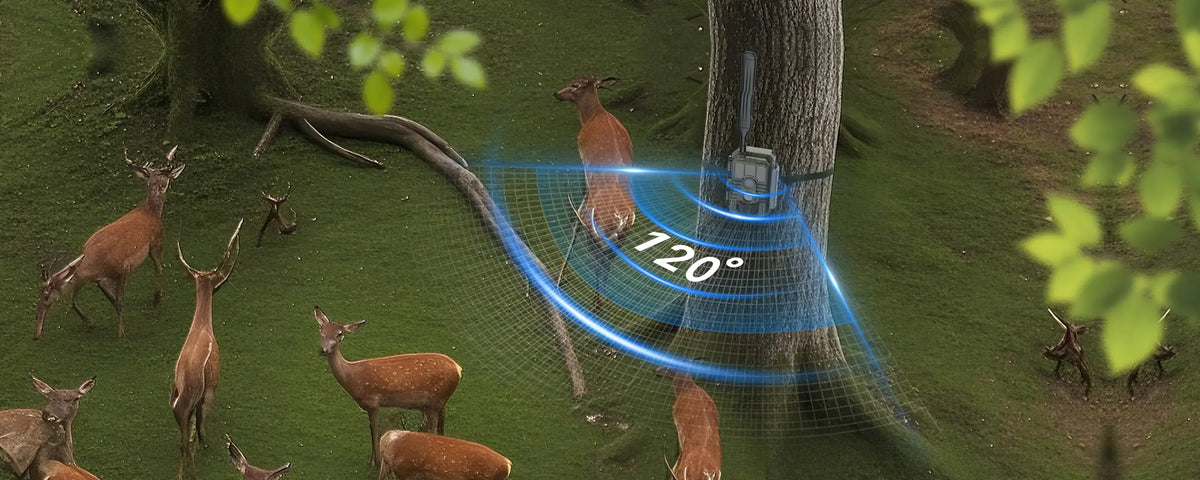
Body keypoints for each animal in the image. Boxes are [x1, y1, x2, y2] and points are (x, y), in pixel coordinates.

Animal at [35, 147, 185, 339]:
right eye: (40, 297)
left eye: (46, 296)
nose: (36, 333)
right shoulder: (100, 279)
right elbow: (97, 300)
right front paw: (91, 324)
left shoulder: (122, 269)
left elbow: (119, 301)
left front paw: (121, 332)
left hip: (156, 242)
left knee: (159, 268)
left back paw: (156, 304)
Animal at [170, 219, 242, 479]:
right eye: (217, 280)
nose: (224, 283)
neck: (202, 326)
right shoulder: (211, 387)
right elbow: (201, 429)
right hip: (195, 398)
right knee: (187, 441)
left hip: (178, 404)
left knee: (182, 442)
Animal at [313, 306, 463, 465]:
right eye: (321, 331)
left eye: (339, 334)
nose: (324, 350)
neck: (354, 380)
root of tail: (458, 369)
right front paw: (372, 459)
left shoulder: (373, 402)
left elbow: (375, 430)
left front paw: (376, 461)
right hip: (436, 403)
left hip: (436, 401)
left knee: (433, 430)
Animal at [553, 76, 637, 312]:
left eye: (575, 85)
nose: (556, 93)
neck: (593, 116)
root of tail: (621, 220)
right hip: (619, 237)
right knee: (607, 262)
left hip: (597, 231)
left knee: (599, 260)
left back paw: (595, 300)